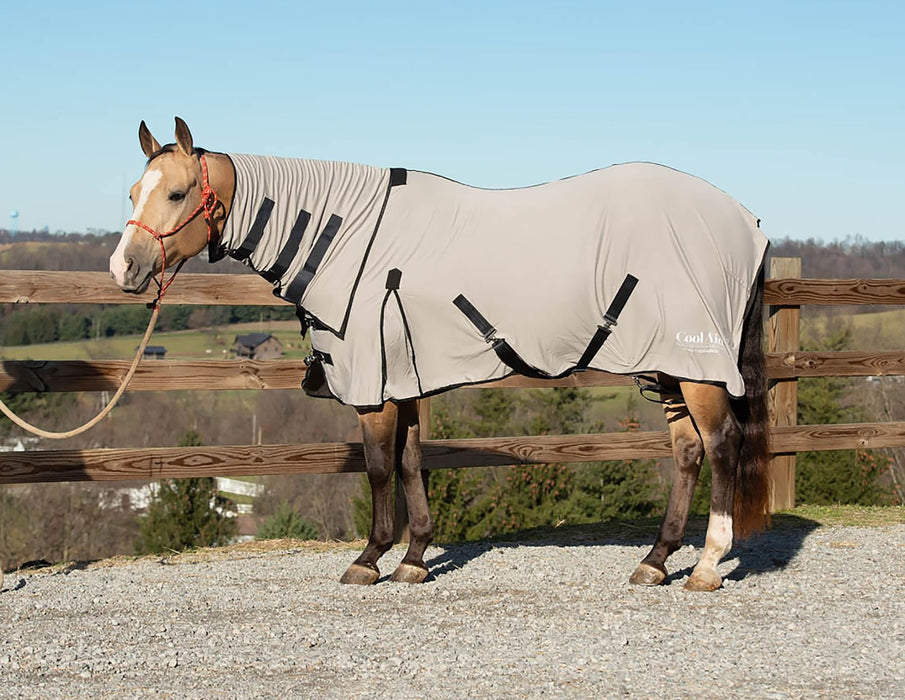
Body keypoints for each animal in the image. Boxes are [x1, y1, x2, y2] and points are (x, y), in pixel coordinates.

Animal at [110, 117, 771, 591]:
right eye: (133, 191)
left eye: (176, 192)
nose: (124, 268)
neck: (352, 237)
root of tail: (747, 221)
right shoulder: (401, 379)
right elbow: (409, 462)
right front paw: (414, 558)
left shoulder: (373, 386)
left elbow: (379, 467)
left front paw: (369, 559)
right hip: (668, 368)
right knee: (687, 452)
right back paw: (655, 562)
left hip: (700, 369)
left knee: (721, 447)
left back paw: (707, 566)